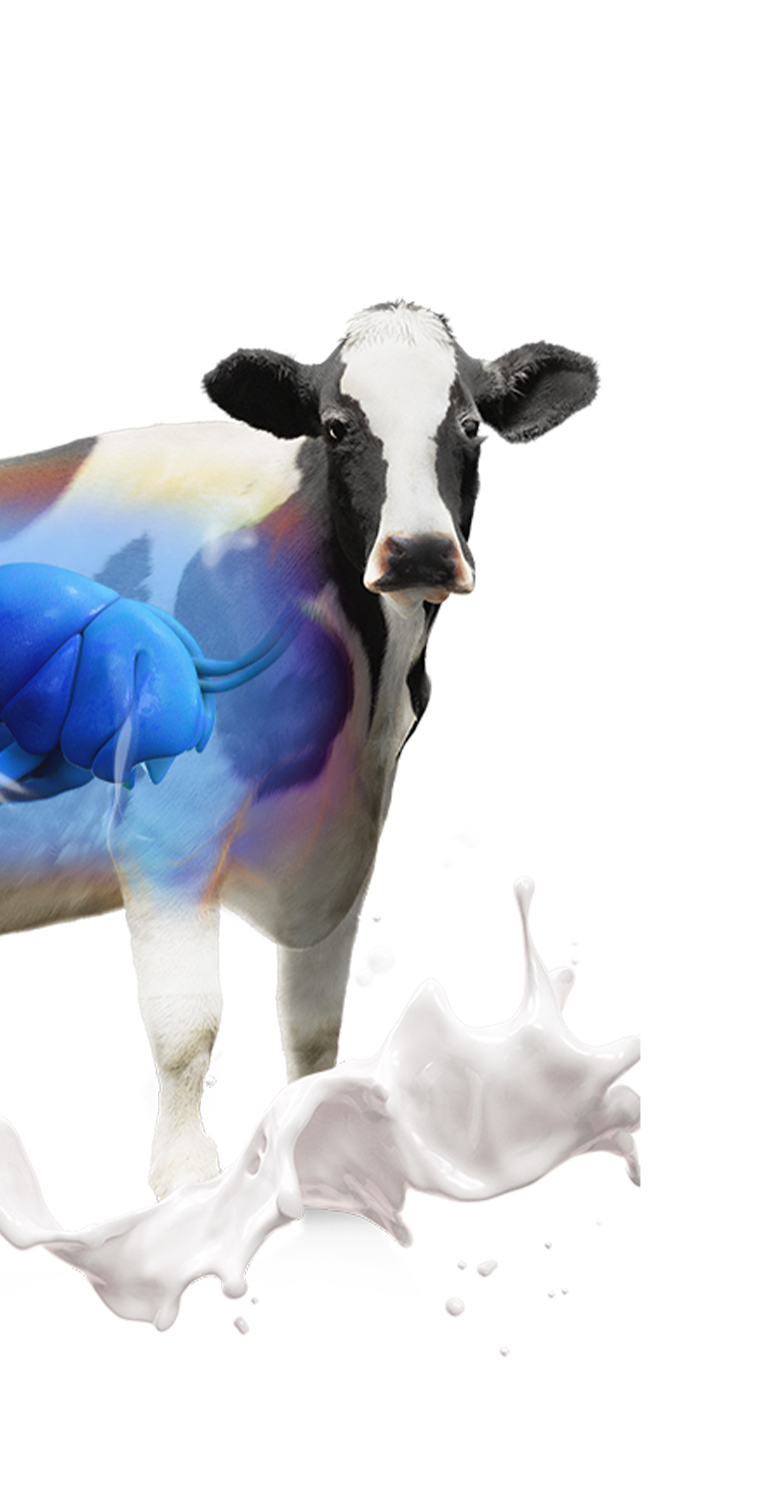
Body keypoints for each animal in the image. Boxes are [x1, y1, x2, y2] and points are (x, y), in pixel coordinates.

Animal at [0, 304, 596, 1199]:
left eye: (468, 425)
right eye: (336, 426)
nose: (419, 550)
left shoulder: (340, 837)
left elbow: (314, 1025)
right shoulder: (163, 832)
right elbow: (186, 1027)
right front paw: (185, 1184)